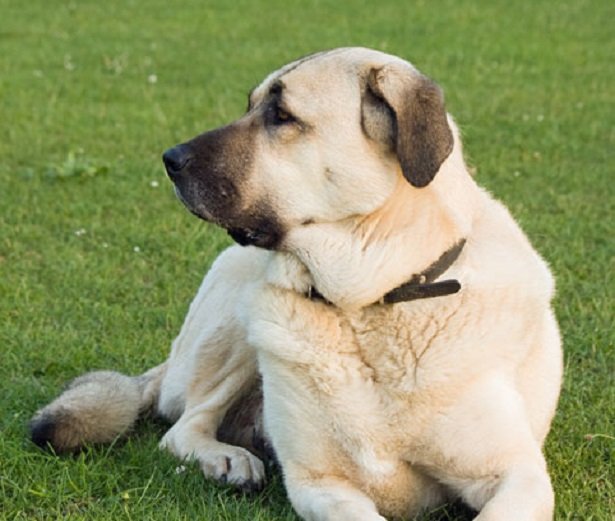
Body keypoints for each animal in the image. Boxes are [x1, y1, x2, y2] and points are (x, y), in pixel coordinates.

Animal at [32, 48, 564, 520]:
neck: (369, 304)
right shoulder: (318, 483)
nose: (169, 159)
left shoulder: (518, 477)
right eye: (250, 105)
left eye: (281, 115)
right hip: (238, 327)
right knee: (183, 425)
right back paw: (228, 459)